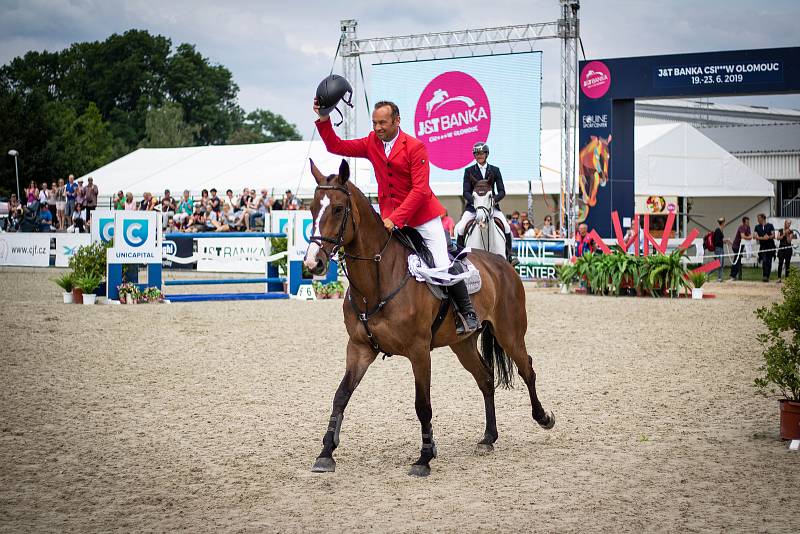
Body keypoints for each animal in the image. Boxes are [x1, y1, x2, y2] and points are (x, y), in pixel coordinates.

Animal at [304, 158, 552, 478]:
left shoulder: (419, 351)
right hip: (463, 344)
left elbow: (422, 404)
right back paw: (488, 437)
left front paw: (424, 458)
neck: (378, 281)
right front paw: (326, 453)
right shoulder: (359, 348)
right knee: (486, 378)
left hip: (510, 334)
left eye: (337, 208)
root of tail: (501, 264)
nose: (313, 262)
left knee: (527, 369)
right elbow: (341, 395)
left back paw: (543, 417)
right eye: (312, 208)